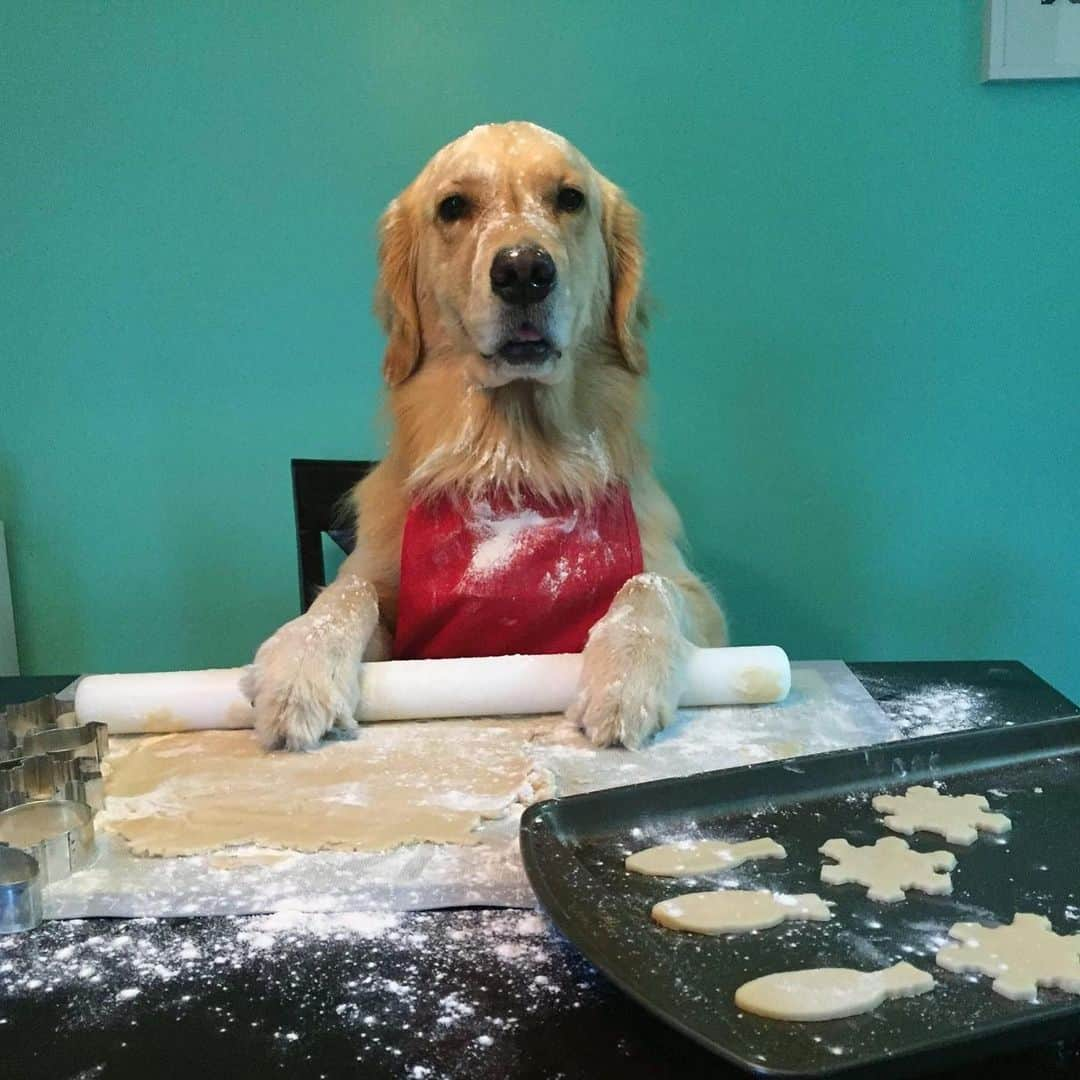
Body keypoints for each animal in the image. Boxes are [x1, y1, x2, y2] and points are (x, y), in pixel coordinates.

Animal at [245, 122, 725, 751]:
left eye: (570, 198)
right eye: (453, 207)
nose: (524, 272)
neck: (517, 462)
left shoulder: (698, 600)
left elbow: (648, 585)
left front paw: (626, 677)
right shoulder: (389, 601)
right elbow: (345, 594)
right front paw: (299, 663)